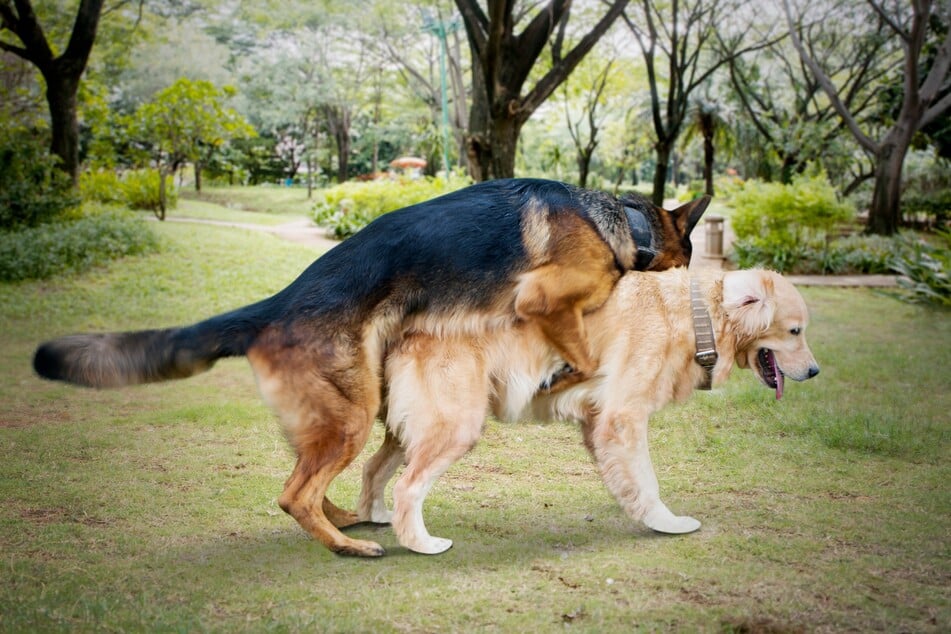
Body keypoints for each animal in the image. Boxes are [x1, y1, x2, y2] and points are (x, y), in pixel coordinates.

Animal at [33, 177, 708, 552]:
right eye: (688, 258)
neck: (622, 222)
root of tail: (275, 306)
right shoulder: (541, 300)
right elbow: (585, 355)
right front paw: (561, 374)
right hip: (352, 416)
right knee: (294, 495)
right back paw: (345, 547)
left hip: (340, 412)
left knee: (304, 486)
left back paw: (348, 522)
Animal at [356, 266, 820, 552]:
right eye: (795, 331)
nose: (815, 371)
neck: (696, 314)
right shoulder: (623, 418)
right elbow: (648, 481)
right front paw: (666, 523)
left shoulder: (599, 420)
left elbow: (628, 479)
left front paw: (636, 509)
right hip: (456, 424)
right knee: (407, 487)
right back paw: (421, 543)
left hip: (414, 428)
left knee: (374, 470)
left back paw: (377, 517)